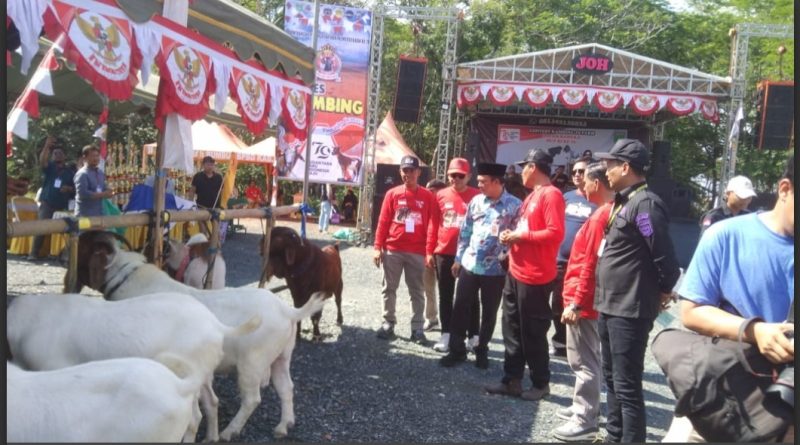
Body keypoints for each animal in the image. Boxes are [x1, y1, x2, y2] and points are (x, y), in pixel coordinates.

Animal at [76, 231, 332, 438]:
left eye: (85, 249)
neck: (130, 278)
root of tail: (288, 310)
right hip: (281, 355)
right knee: (286, 387)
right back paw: (283, 426)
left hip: (253, 361)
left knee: (252, 399)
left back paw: (230, 432)